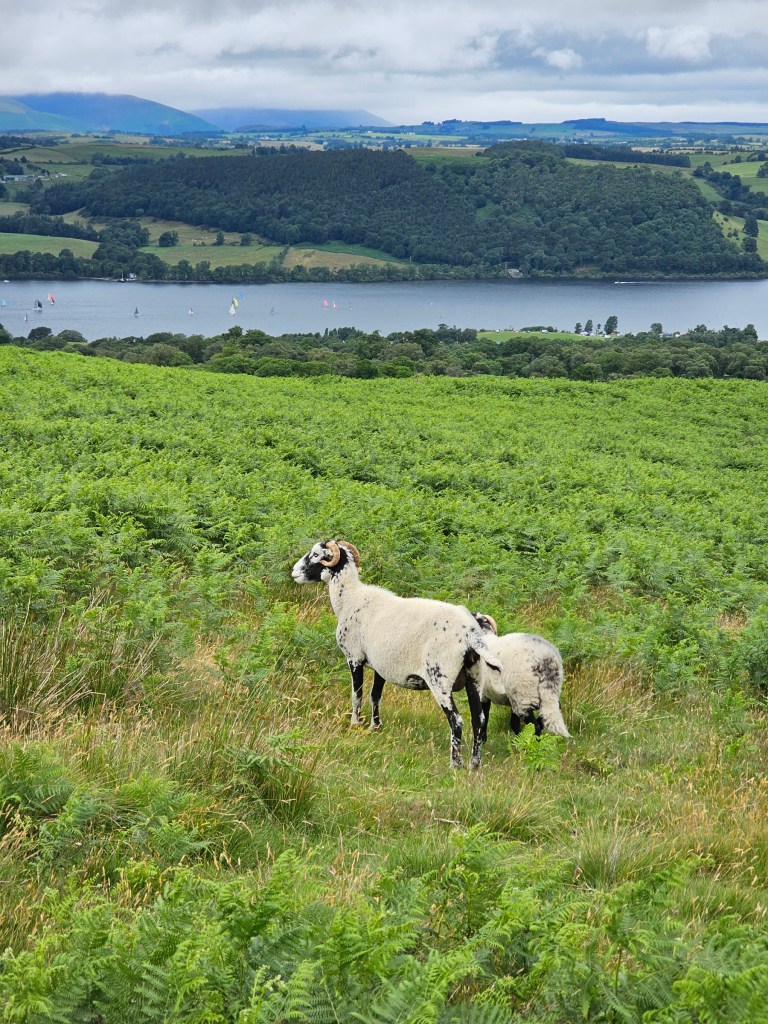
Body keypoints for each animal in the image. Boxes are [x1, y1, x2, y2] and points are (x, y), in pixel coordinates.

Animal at [291, 540, 502, 768]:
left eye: (316, 554)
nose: (294, 572)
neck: (350, 598)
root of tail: (470, 634)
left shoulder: (354, 657)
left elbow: (357, 694)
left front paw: (355, 723)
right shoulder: (381, 665)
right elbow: (375, 695)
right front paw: (375, 727)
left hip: (440, 678)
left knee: (457, 721)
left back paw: (455, 765)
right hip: (475, 677)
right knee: (479, 720)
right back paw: (474, 765)